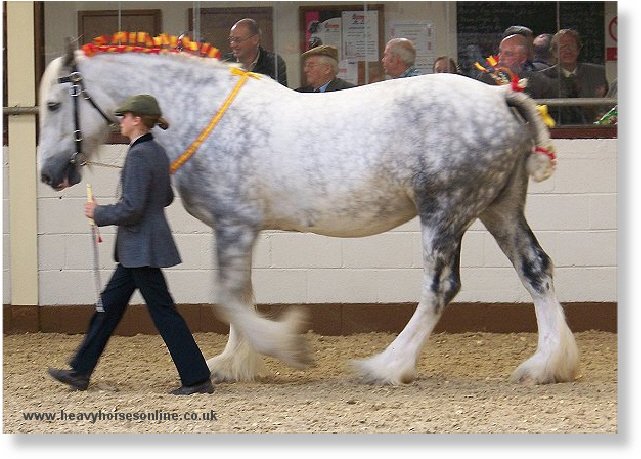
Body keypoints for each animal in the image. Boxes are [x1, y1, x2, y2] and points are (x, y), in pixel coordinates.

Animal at [37, 47, 576, 384]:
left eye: (52, 104)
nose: (49, 174)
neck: (202, 114)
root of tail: (501, 95)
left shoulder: (234, 225)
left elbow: (227, 297)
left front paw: (285, 346)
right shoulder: (241, 229)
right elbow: (240, 294)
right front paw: (233, 364)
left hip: (445, 211)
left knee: (440, 287)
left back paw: (387, 366)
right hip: (498, 207)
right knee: (535, 268)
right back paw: (548, 365)